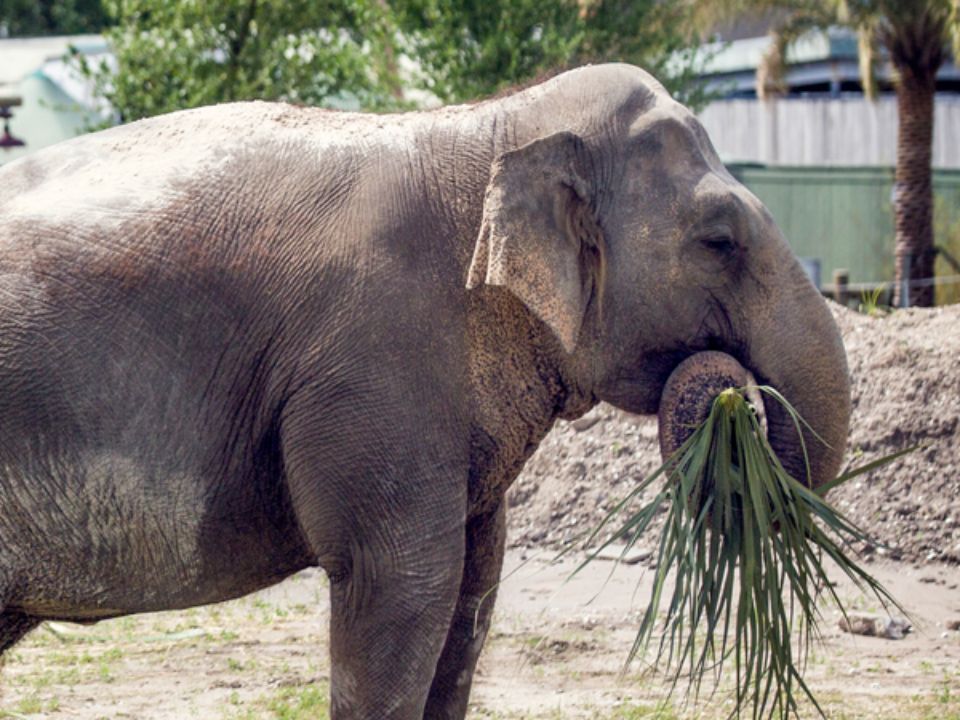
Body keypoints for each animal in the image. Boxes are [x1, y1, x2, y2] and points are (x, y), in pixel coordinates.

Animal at [0, 63, 850, 718]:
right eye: (719, 241)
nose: (732, 400)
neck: (495, 125)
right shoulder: (376, 361)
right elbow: (405, 580)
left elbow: (475, 581)